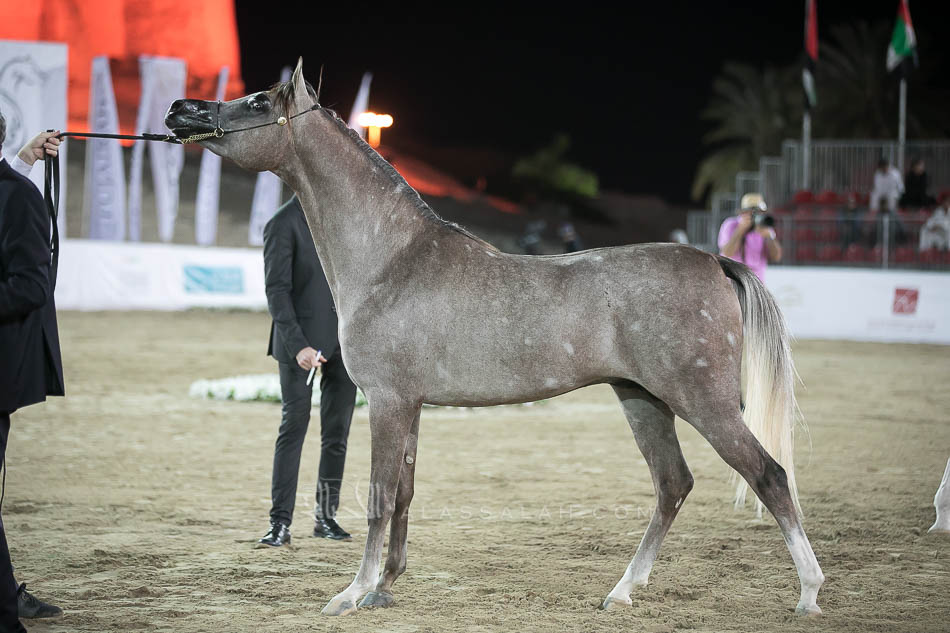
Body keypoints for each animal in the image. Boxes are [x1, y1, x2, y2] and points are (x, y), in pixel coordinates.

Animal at [165, 58, 824, 618]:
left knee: (769, 476)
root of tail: (714, 260)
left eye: (256, 101)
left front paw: (352, 593)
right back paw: (621, 591)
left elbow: (378, 496)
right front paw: (386, 586)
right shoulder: (410, 406)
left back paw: (809, 593)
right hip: (642, 399)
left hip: (703, 402)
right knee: (673, 484)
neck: (393, 260)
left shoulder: (387, 401)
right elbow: (404, 492)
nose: (179, 109)